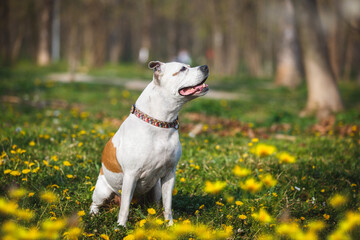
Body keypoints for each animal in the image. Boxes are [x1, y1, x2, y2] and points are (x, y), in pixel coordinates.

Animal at [88, 61, 210, 226]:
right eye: (182, 69)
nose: (206, 67)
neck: (161, 124)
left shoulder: (169, 174)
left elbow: (168, 205)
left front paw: (170, 225)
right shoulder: (131, 175)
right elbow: (124, 207)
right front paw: (120, 226)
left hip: (156, 188)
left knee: (157, 203)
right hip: (102, 190)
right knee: (97, 203)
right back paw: (93, 215)